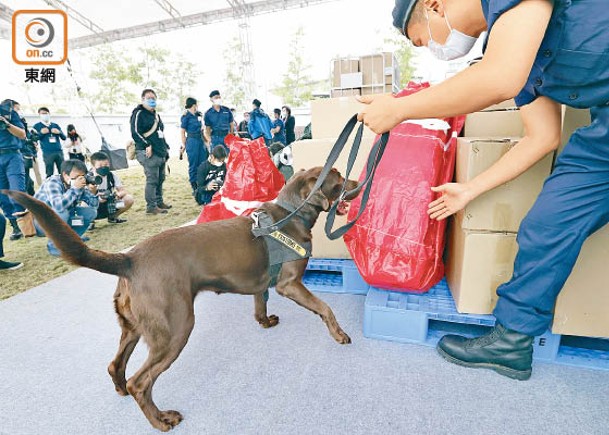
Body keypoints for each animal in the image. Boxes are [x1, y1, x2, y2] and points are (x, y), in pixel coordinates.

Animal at [4, 167, 360, 432]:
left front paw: (264, 321)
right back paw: (161, 420)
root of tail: (128, 259)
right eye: (340, 179)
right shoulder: (290, 284)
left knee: (116, 365)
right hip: (175, 328)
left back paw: (122, 390)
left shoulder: (263, 285)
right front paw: (339, 334)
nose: (359, 184)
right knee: (140, 382)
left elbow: (260, 300)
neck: (289, 214)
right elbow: (325, 307)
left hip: (134, 327)